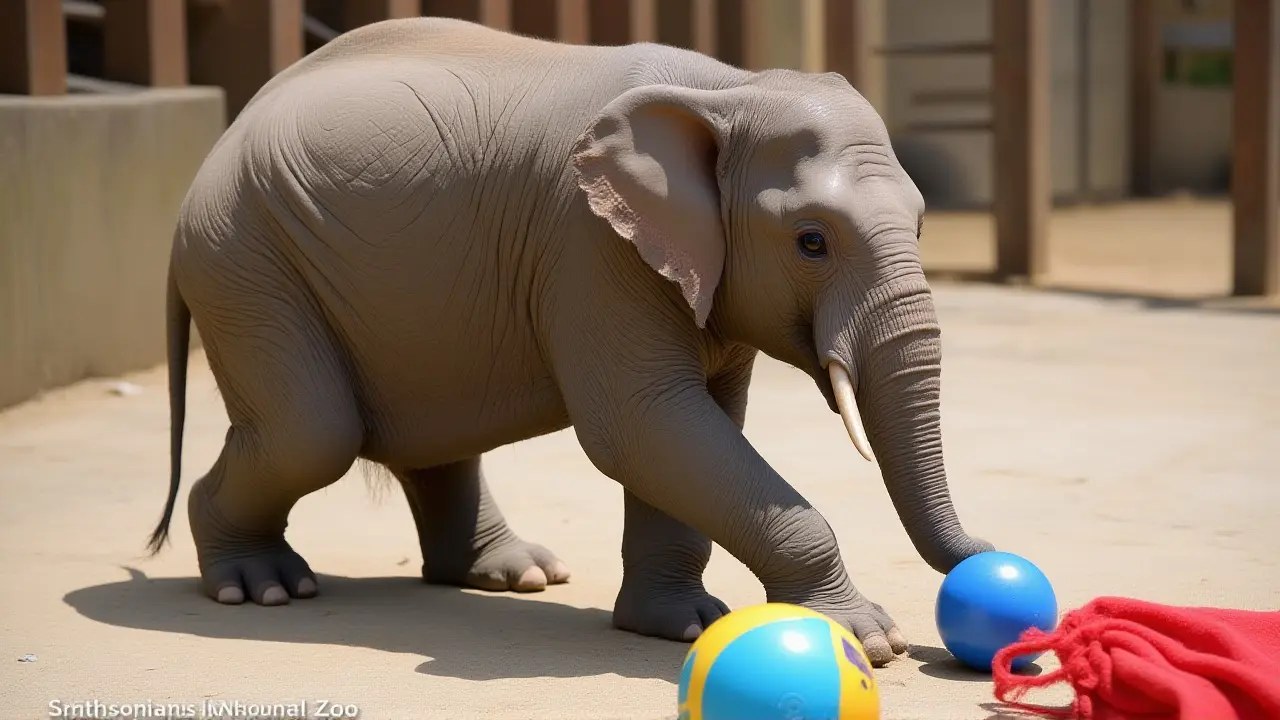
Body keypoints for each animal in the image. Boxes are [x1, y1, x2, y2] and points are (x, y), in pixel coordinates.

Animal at [146, 16, 993, 666]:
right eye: (811, 242)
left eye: (922, 225)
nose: (988, 555)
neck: (726, 90)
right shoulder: (588, 244)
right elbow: (643, 423)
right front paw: (867, 640)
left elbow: (695, 425)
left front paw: (682, 625)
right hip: (243, 260)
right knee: (312, 432)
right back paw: (258, 586)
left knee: (420, 432)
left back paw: (513, 576)